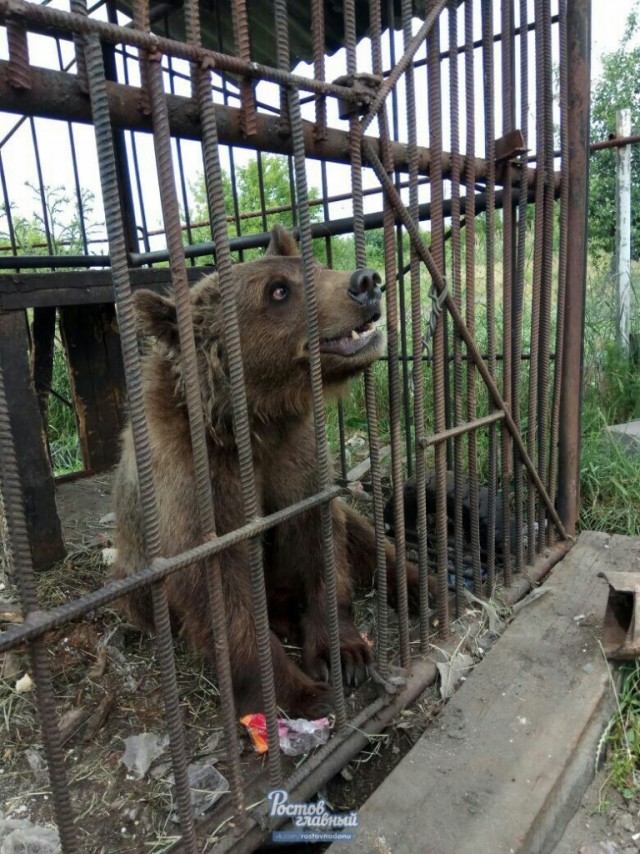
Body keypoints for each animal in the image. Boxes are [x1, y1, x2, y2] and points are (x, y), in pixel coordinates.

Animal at [114, 226, 430, 716]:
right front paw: (302, 694)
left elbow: (319, 537)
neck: (256, 420)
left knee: (360, 531)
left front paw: (344, 652)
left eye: (316, 264)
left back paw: (418, 583)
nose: (366, 281)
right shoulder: (193, 482)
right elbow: (221, 592)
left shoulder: (297, 458)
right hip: (137, 585)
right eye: (278, 291)